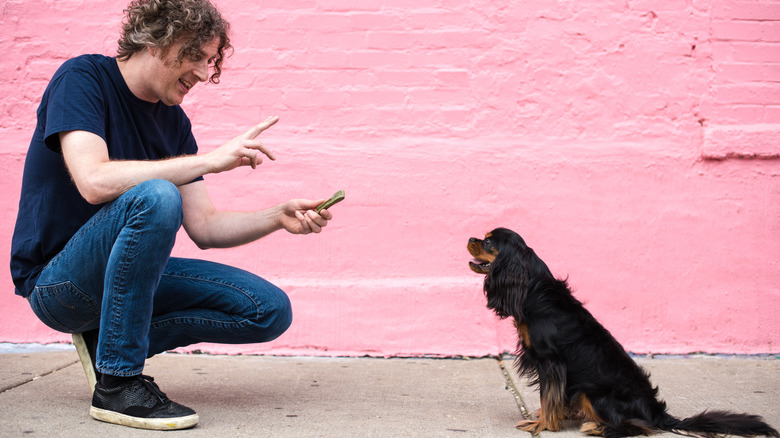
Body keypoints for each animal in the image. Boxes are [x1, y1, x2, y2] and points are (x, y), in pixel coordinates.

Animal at [466, 228, 776, 438]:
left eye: (489, 242)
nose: (470, 238)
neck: (530, 287)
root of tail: (658, 413)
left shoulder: (550, 361)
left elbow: (548, 396)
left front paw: (542, 425)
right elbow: (554, 398)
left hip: (595, 394)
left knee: (638, 426)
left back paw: (598, 427)